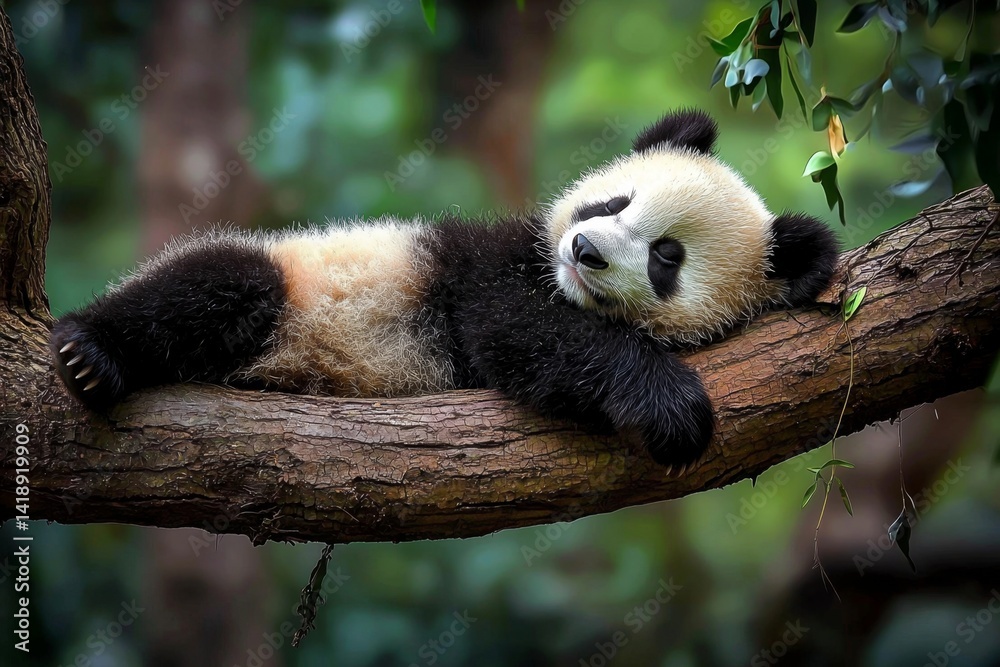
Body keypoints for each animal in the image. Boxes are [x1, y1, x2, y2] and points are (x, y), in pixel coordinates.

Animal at [50, 109, 838, 469]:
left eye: (666, 258)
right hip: (286, 277)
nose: (583, 251)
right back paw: (90, 353)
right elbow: (519, 328)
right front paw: (672, 406)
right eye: (613, 203)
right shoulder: (485, 264)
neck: (551, 273)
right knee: (216, 285)